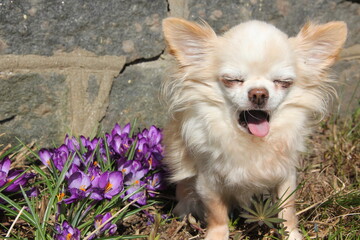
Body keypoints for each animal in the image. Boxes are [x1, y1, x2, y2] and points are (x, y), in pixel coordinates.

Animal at [161, 17, 346, 240]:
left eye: (283, 82)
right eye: (232, 80)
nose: (259, 93)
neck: (252, 142)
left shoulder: (285, 175)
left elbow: (287, 209)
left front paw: (291, 234)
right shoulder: (208, 181)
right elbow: (216, 213)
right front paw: (217, 235)